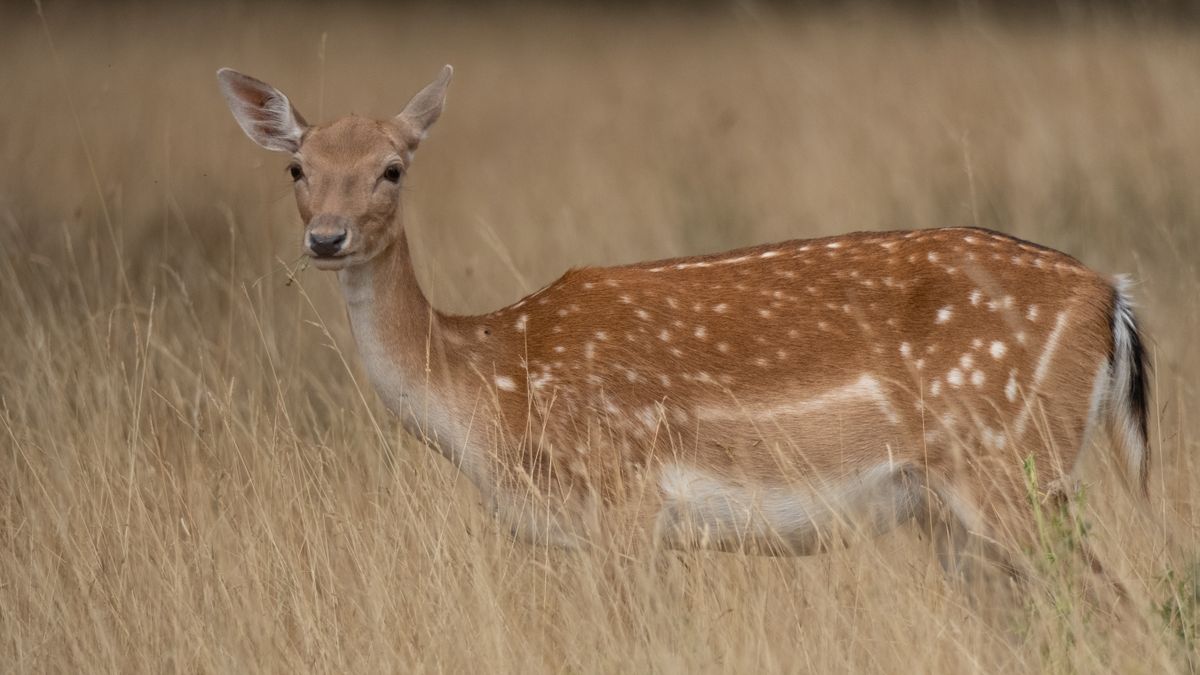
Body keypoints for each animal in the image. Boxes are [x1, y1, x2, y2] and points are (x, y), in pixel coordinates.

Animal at [217, 65, 1150, 579]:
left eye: (393, 168)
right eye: (297, 167)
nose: (326, 237)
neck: (491, 381)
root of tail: (1109, 295)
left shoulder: (625, 502)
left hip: (1014, 465)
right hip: (959, 513)